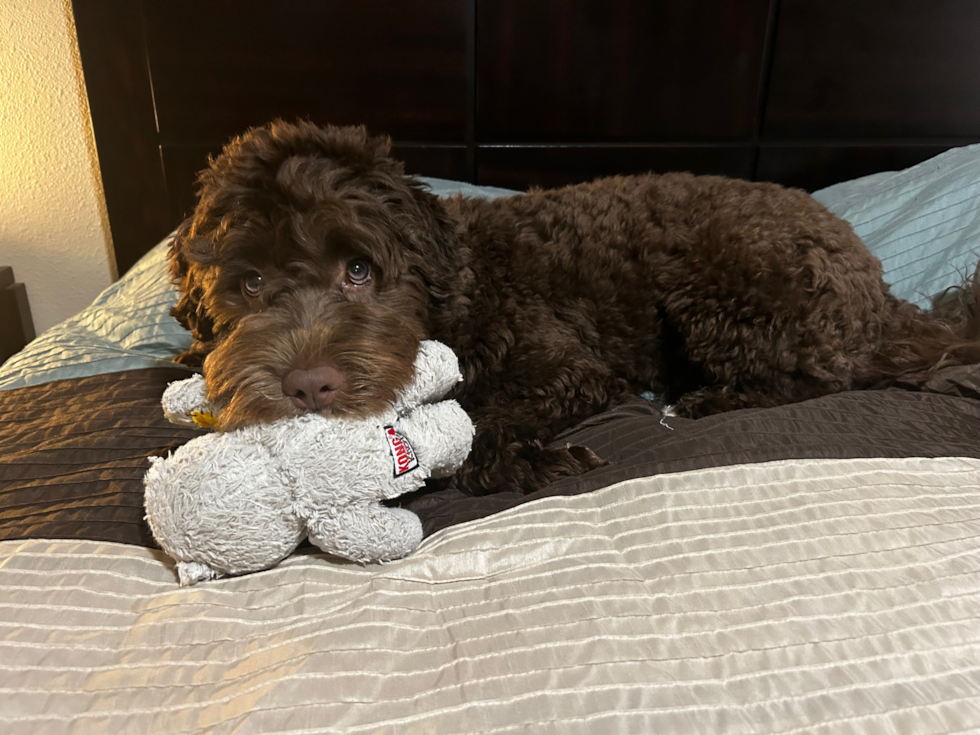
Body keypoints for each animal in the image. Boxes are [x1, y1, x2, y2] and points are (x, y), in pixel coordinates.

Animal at [170, 122, 980, 494]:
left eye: (360, 269)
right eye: (247, 282)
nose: (308, 387)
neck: (453, 285)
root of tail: (879, 288)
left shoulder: (567, 368)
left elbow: (484, 416)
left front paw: (518, 460)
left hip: (724, 285)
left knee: (820, 377)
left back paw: (707, 400)